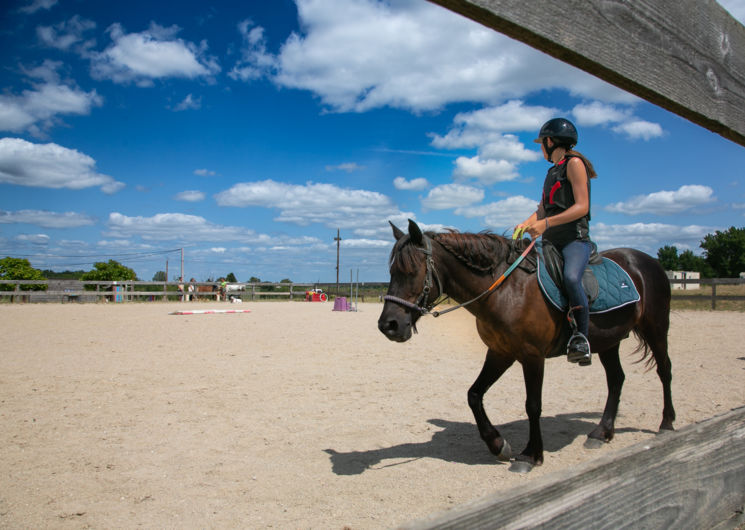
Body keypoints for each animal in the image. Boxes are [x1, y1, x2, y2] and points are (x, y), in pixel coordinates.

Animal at [378, 219, 676, 470]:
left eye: (411, 271)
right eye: (391, 272)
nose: (388, 325)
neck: (505, 289)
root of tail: (647, 261)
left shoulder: (532, 356)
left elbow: (533, 404)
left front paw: (531, 455)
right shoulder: (500, 352)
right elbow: (474, 394)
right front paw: (498, 445)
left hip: (656, 328)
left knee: (664, 370)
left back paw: (667, 423)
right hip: (609, 340)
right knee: (616, 379)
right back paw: (602, 433)